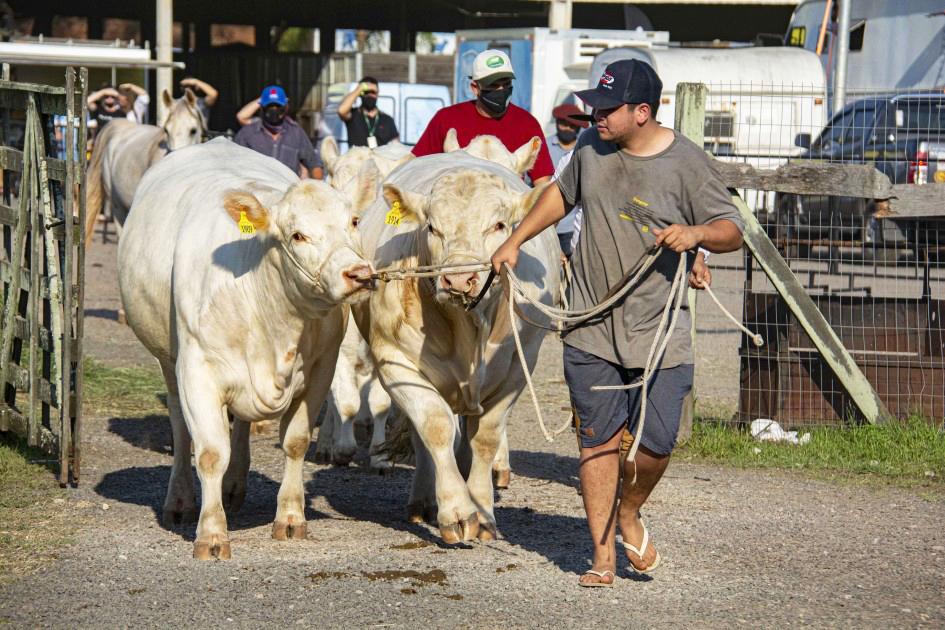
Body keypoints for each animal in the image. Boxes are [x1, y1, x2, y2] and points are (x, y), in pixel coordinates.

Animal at [115, 139, 372, 564]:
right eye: (297, 235)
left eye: (354, 221)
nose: (359, 274)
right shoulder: (197, 370)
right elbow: (209, 452)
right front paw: (211, 534)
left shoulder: (321, 368)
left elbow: (295, 441)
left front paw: (290, 518)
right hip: (168, 360)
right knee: (181, 428)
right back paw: (181, 500)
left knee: (239, 426)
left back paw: (233, 486)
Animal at [358, 153, 556, 544]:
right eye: (432, 228)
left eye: (499, 224)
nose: (460, 279)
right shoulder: (396, 361)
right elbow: (435, 429)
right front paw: (458, 512)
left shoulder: (517, 367)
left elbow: (486, 438)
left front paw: (483, 510)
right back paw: (423, 501)